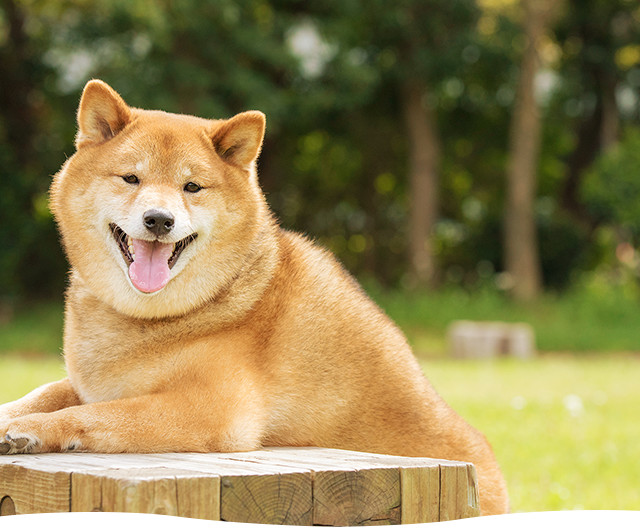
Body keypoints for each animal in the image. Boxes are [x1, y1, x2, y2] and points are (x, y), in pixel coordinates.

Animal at [0, 80, 510, 512]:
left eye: (191, 187)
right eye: (131, 179)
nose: (159, 219)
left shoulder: (212, 410)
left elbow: (93, 414)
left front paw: (28, 431)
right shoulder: (95, 382)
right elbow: (46, 393)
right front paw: (15, 415)